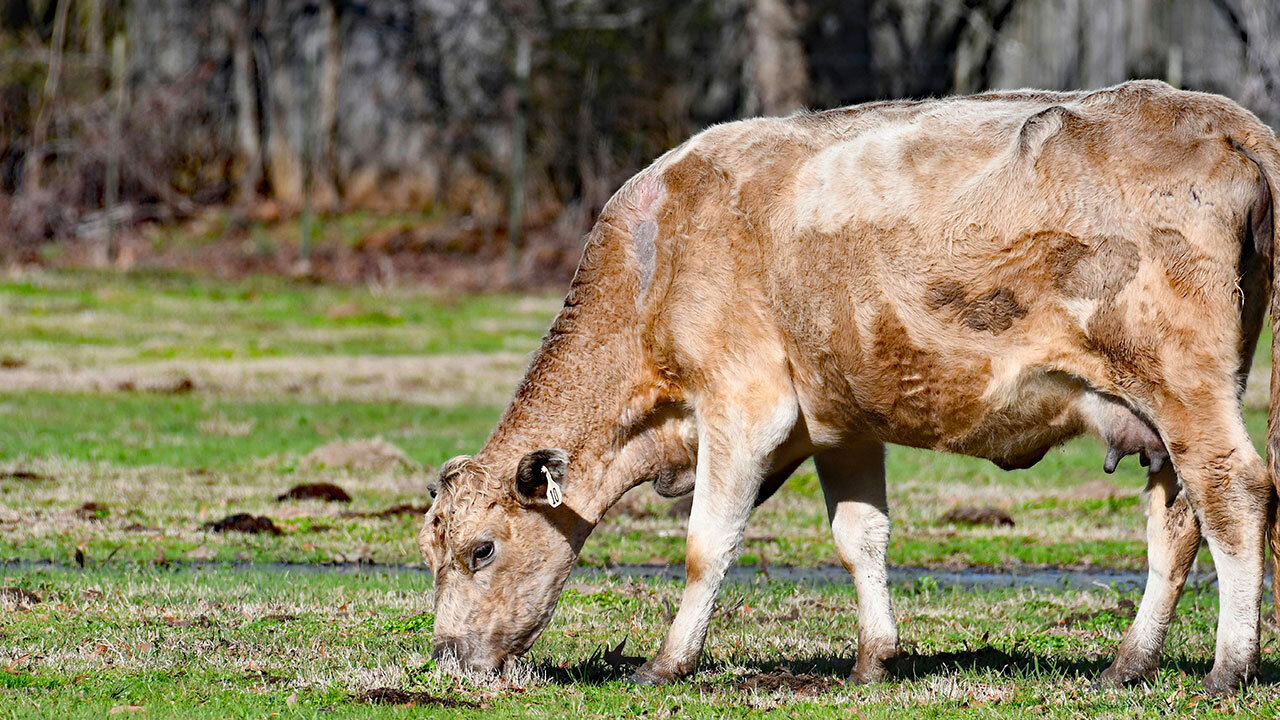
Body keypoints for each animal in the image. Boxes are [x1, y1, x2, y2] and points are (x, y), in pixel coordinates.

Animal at [419, 81, 1280, 691]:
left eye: (480, 549)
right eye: (433, 555)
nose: (449, 656)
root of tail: (1225, 118)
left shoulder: (744, 405)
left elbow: (706, 545)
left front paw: (666, 663)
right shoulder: (840, 422)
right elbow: (860, 537)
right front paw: (875, 658)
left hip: (1182, 383)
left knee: (1235, 492)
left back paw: (1227, 670)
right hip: (1159, 413)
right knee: (1177, 520)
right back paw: (1129, 663)